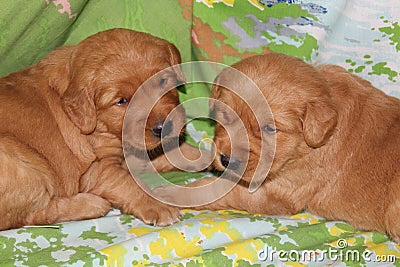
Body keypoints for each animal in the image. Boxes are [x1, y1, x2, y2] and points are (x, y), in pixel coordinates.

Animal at [0, 28, 192, 230]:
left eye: (163, 81)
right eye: (121, 101)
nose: (164, 127)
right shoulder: (96, 171)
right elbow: (128, 184)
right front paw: (158, 205)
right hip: (23, 164)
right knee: (33, 215)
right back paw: (92, 204)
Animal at [158, 53, 398, 244]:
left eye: (270, 129)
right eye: (225, 115)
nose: (227, 160)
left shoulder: (279, 192)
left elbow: (219, 189)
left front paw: (172, 193)